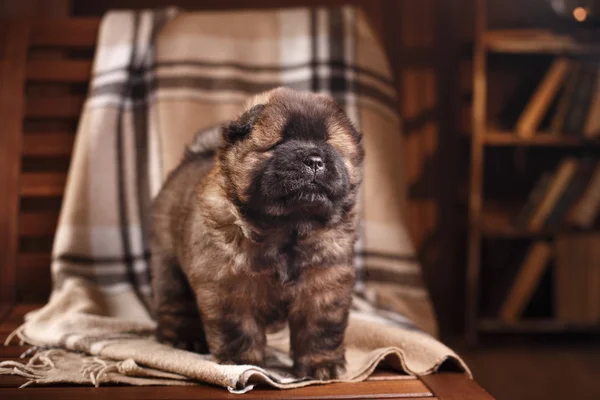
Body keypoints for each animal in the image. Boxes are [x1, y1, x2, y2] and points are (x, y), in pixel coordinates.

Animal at [152, 87, 364, 382]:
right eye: (279, 144)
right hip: (169, 266)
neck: (288, 230)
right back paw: (183, 339)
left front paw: (322, 365)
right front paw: (242, 362)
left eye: (329, 144)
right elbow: (239, 328)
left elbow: (320, 330)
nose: (314, 160)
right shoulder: (229, 286)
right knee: (174, 306)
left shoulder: (324, 287)